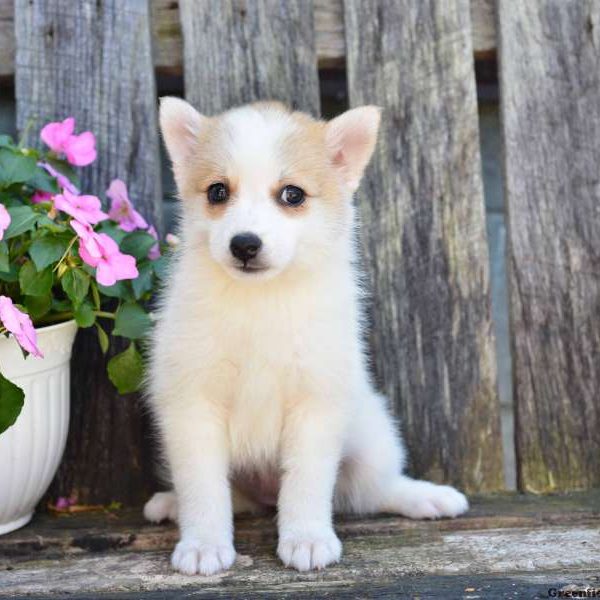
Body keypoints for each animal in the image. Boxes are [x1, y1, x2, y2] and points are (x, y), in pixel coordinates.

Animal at [145, 98, 468, 576]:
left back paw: (426, 496)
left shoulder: (315, 403)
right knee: (234, 498)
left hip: (371, 436)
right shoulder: (193, 405)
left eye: (292, 195)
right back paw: (171, 503)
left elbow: (307, 482)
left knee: (371, 490)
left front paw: (307, 539)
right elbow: (203, 488)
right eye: (218, 192)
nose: (245, 244)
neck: (260, 302)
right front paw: (203, 544)